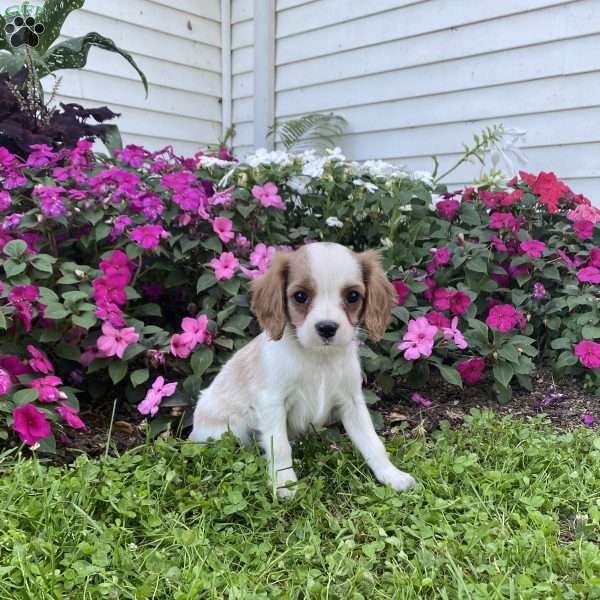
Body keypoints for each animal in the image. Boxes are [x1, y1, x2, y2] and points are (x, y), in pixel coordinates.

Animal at [190, 240, 414, 496]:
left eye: (352, 296)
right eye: (300, 296)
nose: (327, 328)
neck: (319, 358)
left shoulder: (352, 402)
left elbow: (372, 441)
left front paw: (391, 475)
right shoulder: (272, 402)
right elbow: (280, 446)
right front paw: (284, 484)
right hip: (229, 429)